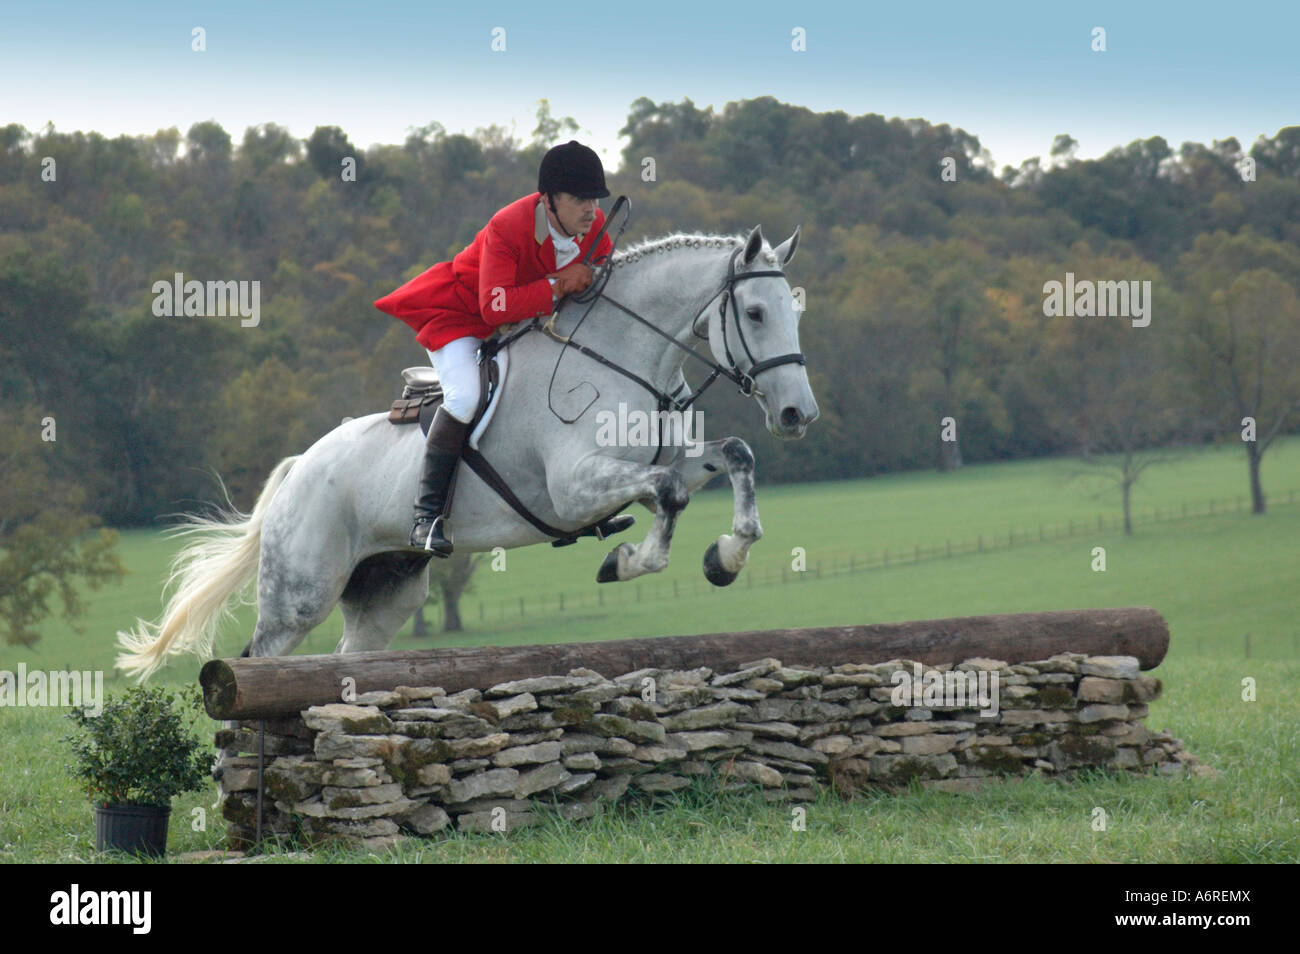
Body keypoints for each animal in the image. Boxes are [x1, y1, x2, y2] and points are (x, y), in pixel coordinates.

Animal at [116, 223, 816, 675]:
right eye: (755, 313)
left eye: (793, 311)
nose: (797, 415)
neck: (625, 355)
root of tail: (298, 470)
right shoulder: (575, 487)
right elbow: (667, 496)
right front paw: (623, 562)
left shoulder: (658, 464)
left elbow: (733, 457)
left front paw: (726, 557)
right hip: (300, 594)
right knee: (258, 658)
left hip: (387, 592)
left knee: (349, 660)